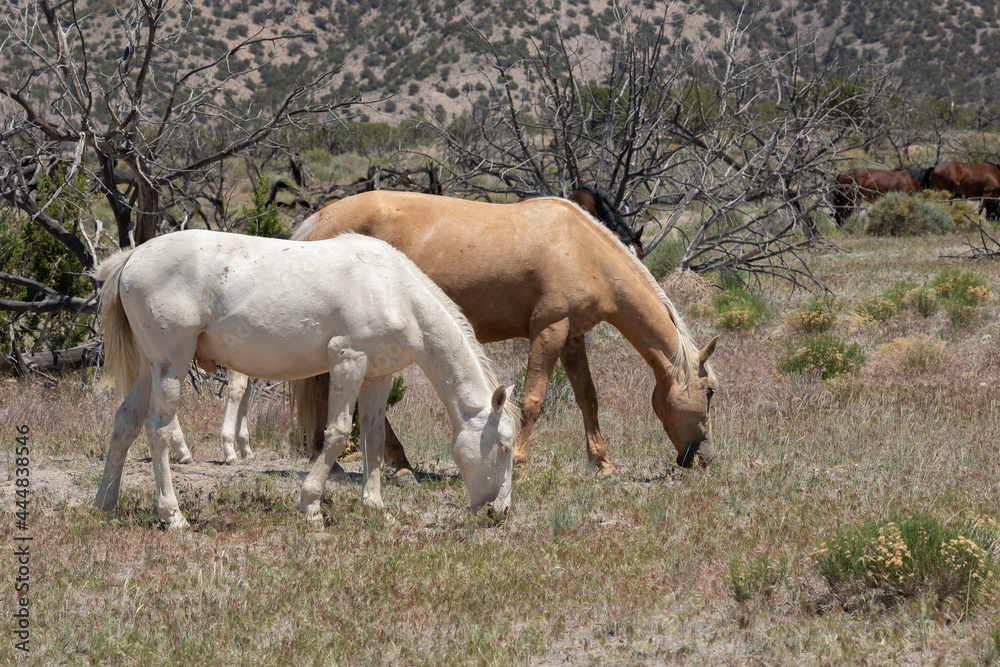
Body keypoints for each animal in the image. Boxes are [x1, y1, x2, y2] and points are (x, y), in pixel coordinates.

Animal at [94, 229, 518, 528]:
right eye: (503, 446)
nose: (500, 512)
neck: (394, 291)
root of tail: (132, 257)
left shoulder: (377, 376)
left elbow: (374, 439)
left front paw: (376, 508)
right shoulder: (348, 360)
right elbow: (338, 434)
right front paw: (310, 505)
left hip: (150, 367)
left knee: (126, 421)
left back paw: (105, 504)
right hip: (171, 363)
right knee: (158, 429)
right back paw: (173, 515)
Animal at [276, 190, 717, 477]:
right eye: (710, 392)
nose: (705, 458)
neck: (582, 249)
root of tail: (323, 216)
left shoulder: (573, 337)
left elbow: (588, 399)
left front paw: (603, 464)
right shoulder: (549, 331)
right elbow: (533, 400)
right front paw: (518, 462)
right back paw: (377, 463)